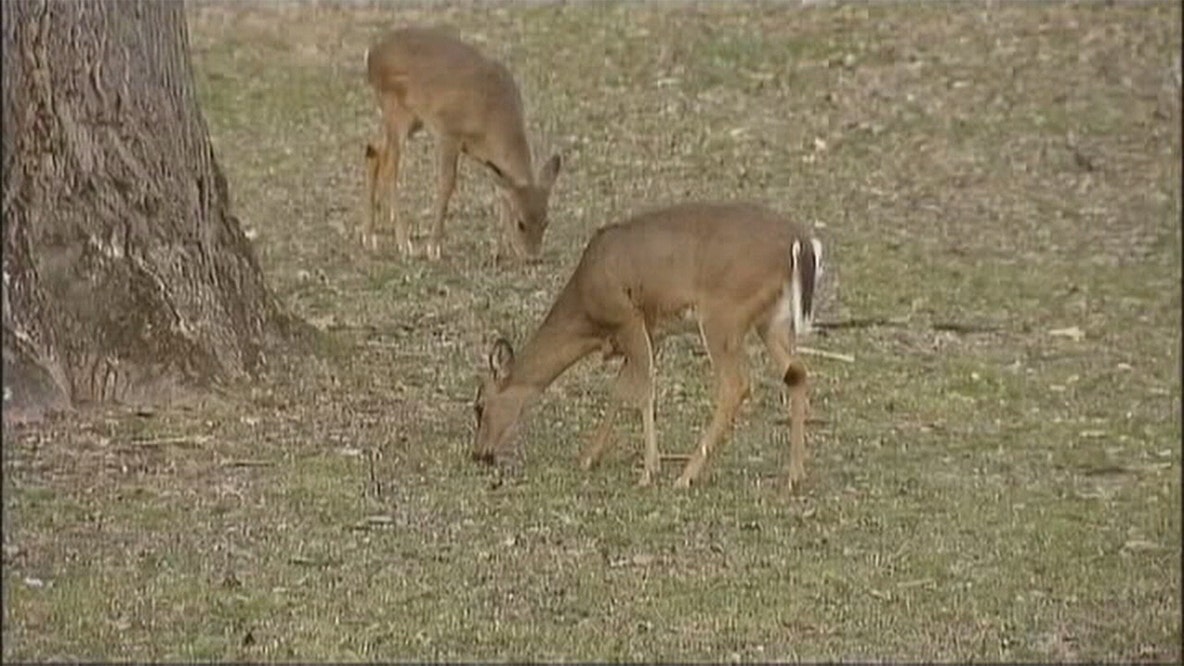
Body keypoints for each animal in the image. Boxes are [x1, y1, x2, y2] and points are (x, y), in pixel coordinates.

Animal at [363, 26, 562, 261]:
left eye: (546, 222)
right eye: (520, 223)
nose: (533, 257)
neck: (491, 114)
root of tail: (372, 56)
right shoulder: (449, 133)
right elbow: (446, 183)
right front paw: (433, 248)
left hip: (410, 120)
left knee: (373, 150)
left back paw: (369, 238)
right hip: (397, 110)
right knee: (389, 169)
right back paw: (405, 244)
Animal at [471, 201, 825, 491]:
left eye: (479, 405)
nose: (479, 453)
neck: (587, 311)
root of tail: (800, 243)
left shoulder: (628, 318)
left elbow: (642, 390)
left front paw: (648, 471)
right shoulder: (650, 332)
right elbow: (620, 389)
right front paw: (589, 457)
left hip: (723, 315)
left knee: (735, 385)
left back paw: (686, 476)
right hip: (772, 321)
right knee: (797, 372)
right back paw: (794, 475)